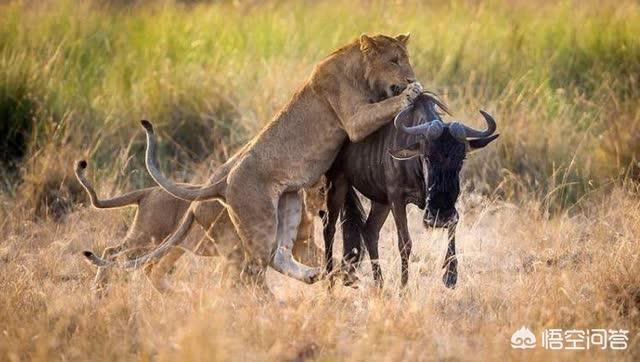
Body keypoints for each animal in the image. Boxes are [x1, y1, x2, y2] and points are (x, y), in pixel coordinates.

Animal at [85, 33, 424, 288]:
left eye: (406, 58)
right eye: (394, 61)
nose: (411, 76)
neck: (357, 69)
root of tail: (222, 181)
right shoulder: (353, 120)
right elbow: (386, 106)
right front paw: (412, 92)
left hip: (288, 202)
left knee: (279, 255)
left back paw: (313, 275)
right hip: (256, 220)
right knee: (251, 271)